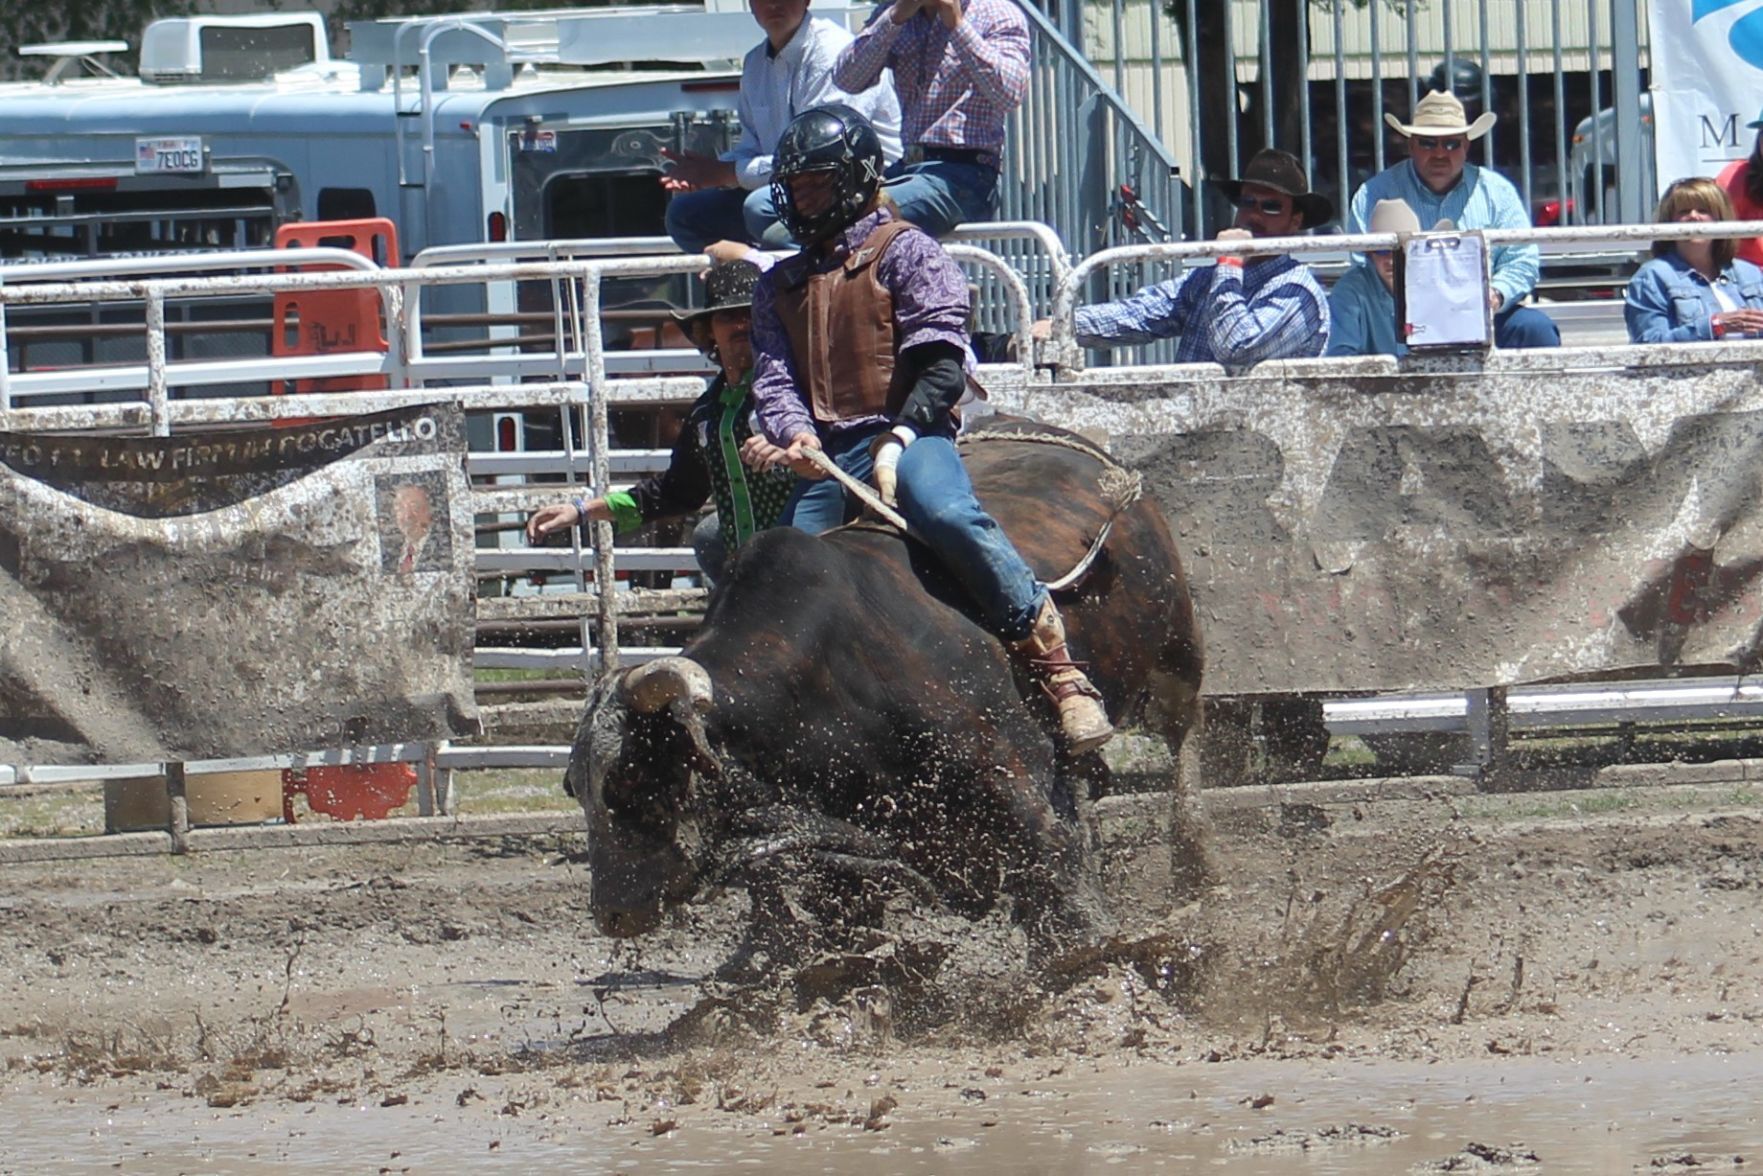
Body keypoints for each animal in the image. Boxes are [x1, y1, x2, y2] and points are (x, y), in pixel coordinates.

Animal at [567, 428, 1212, 945]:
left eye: (633, 778)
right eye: (577, 787)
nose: (614, 913)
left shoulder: (1012, 775)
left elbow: (1057, 876)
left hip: (1176, 658)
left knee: (1185, 750)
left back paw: (1194, 871)